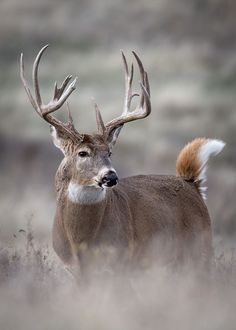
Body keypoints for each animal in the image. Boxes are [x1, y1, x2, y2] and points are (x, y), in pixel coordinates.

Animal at [20, 43, 225, 276]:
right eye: (83, 153)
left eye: (109, 152)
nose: (110, 177)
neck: (80, 240)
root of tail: (192, 184)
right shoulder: (71, 268)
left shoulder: (121, 259)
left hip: (201, 248)